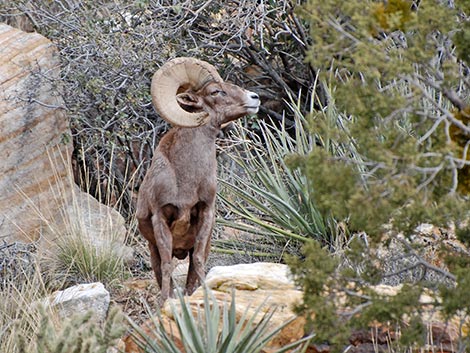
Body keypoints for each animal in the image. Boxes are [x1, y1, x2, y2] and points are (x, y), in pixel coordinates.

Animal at [136, 56, 260, 302]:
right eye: (215, 91)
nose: (255, 98)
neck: (186, 178)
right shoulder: (160, 219)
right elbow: (166, 266)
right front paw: (165, 302)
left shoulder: (206, 214)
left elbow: (199, 262)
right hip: (153, 248)